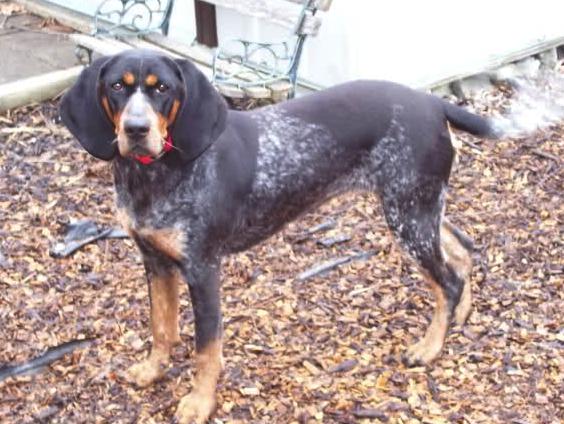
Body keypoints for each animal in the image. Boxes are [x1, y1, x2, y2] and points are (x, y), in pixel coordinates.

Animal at [60, 49, 502, 424]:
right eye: (116, 86)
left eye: (162, 89)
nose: (136, 129)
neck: (154, 174)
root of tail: (432, 103)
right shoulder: (154, 260)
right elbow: (161, 326)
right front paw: (153, 370)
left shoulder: (203, 270)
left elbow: (206, 349)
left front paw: (199, 402)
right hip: (419, 209)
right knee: (462, 252)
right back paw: (461, 314)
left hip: (408, 216)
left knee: (447, 280)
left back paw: (430, 347)